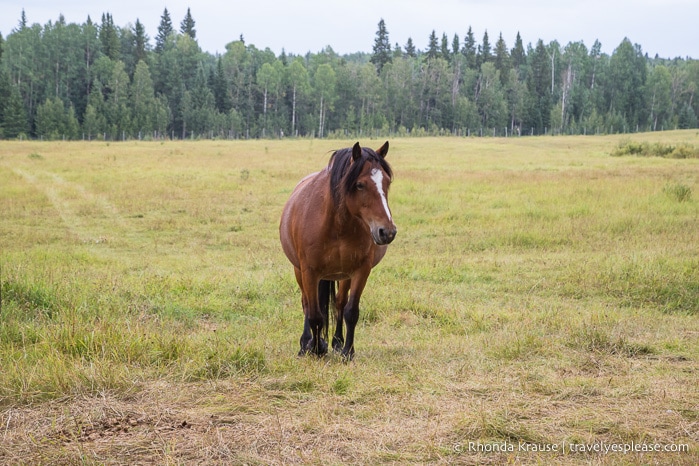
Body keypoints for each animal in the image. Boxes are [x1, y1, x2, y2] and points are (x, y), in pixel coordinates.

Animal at [280, 142, 400, 360]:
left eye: (387, 182)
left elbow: (351, 311)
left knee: (339, 303)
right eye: (360, 184)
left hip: (343, 275)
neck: (337, 226)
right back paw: (305, 343)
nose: (387, 232)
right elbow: (314, 314)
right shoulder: (309, 271)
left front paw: (347, 351)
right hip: (299, 270)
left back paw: (336, 341)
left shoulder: (361, 270)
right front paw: (316, 348)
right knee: (306, 303)